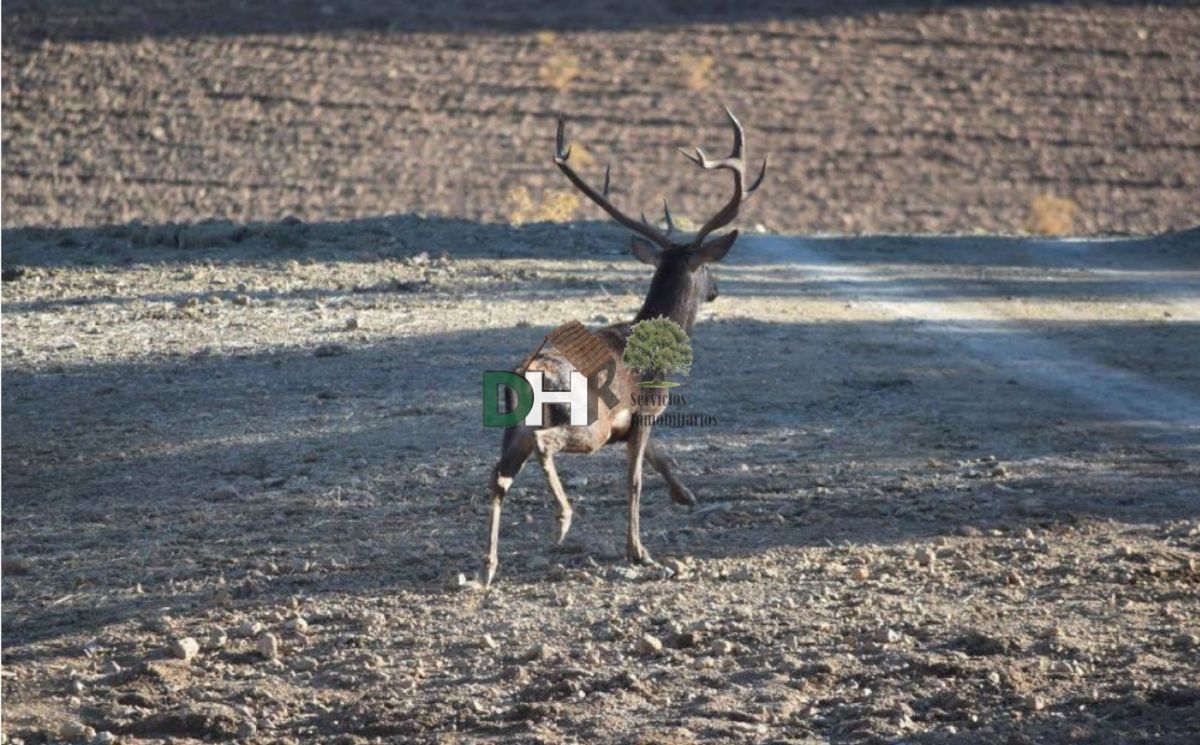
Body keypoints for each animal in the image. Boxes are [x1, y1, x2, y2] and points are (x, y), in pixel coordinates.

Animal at [482, 107, 763, 583]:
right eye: (708, 268)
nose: (716, 290)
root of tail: (527, 373)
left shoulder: (630, 424)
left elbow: (660, 458)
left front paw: (686, 495)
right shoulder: (647, 408)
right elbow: (634, 479)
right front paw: (639, 550)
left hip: (511, 430)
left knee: (496, 477)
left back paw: (489, 565)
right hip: (582, 419)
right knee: (545, 446)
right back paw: (563, 519)